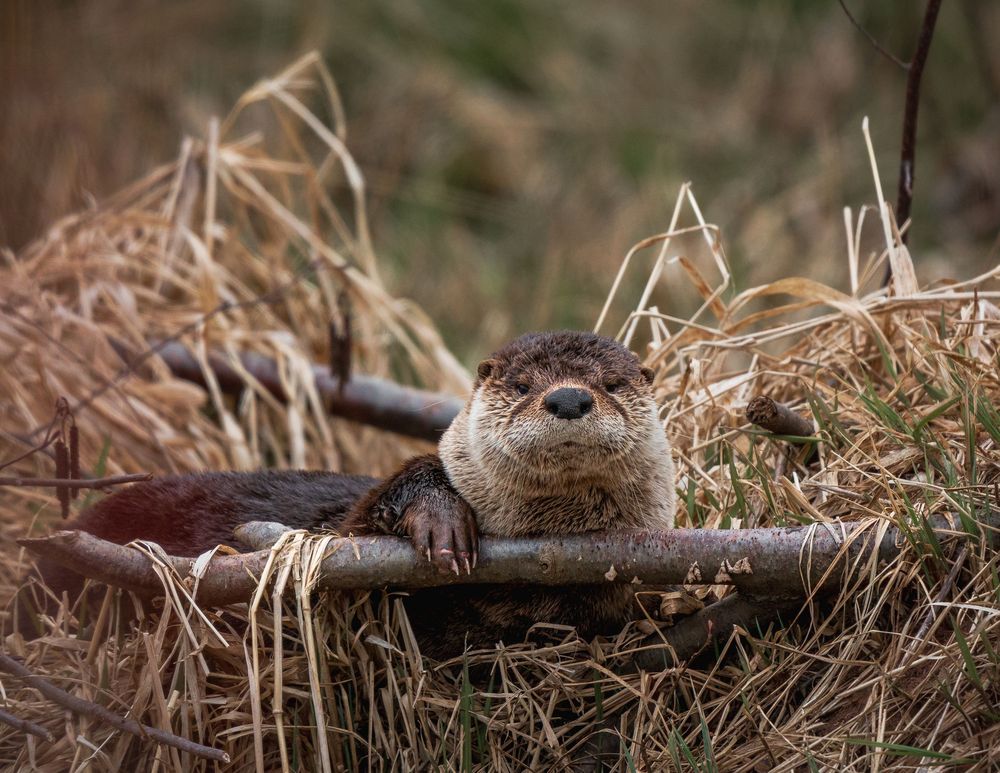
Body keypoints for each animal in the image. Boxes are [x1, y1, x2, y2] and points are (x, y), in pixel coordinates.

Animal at [17, 331, 675, 658]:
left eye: (612, 384)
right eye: (520, 385)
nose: (568, 397)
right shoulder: (349, 533)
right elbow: (359, 527)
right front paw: (441, 522)